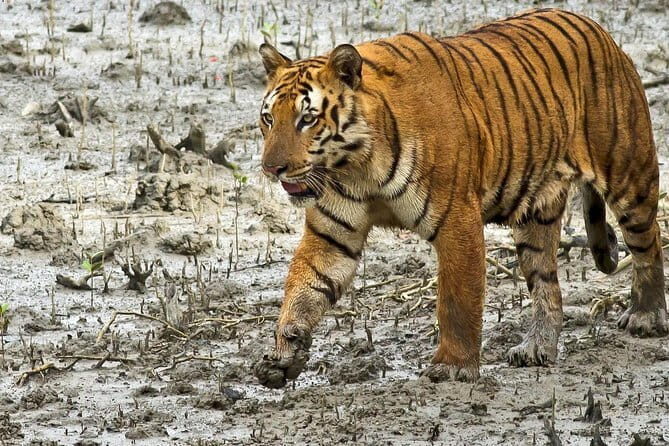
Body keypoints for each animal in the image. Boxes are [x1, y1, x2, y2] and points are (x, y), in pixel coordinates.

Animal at [252, 8, 667, 389]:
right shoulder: (333, 234)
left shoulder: (456, 220)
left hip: (629, 174)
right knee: (546, 283)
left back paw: (646, 317)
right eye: (269, 119)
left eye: (307, 119)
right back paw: (537, 349)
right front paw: (283, 354)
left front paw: (452, 366)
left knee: (648, 245)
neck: (357, 165)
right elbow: (304, 287)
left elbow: (456, 300)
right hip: (536, 215)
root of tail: (596, 27)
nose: (271, 168)